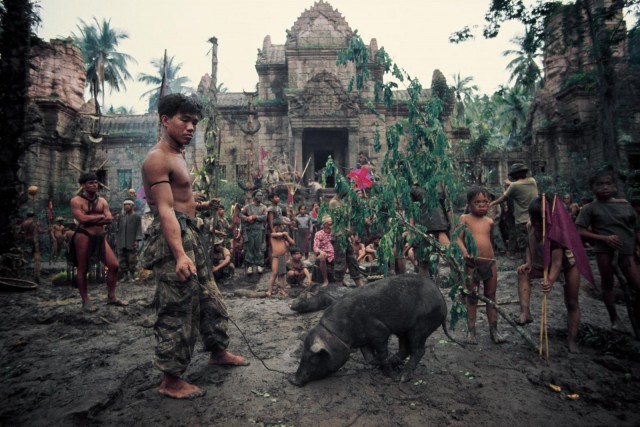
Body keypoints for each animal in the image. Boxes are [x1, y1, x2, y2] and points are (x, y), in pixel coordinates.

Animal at [290, 274, 460, 388]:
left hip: (421, 325)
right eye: (302, 355)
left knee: (418, 350)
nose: (294, 381)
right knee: (405, 348)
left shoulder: (379, 331)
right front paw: (379, 365)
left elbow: (382, 353)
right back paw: (395, 363)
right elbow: (369, 357)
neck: (338, 333)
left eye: (313, 357)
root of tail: (442, 301)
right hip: (405, 330)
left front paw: (391, 376)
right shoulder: (362, 339)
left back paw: (402, 377)